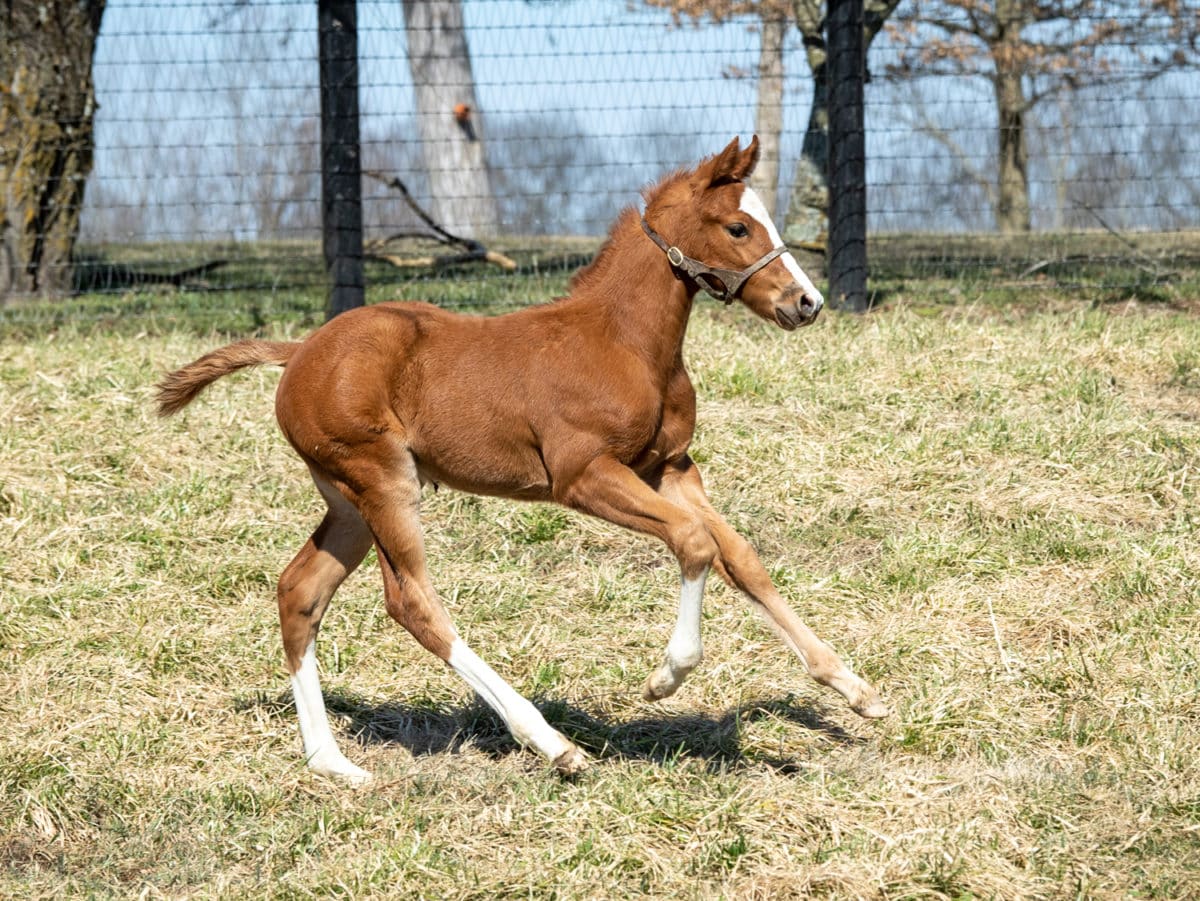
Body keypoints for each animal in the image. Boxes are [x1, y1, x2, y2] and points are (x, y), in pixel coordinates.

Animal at [159, 135, 888, 782]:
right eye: (738, 226)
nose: (806, 302)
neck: (625, 341)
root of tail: (299, 351)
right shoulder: (582, 476)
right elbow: (694, 541)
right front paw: (666, 675)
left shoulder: (671, 467)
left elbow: (740, 555)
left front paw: (853, 687)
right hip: (381, 480)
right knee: (413, 603)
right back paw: (553, 744)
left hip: (348, 502)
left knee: (300, 591)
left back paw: (333, 763)